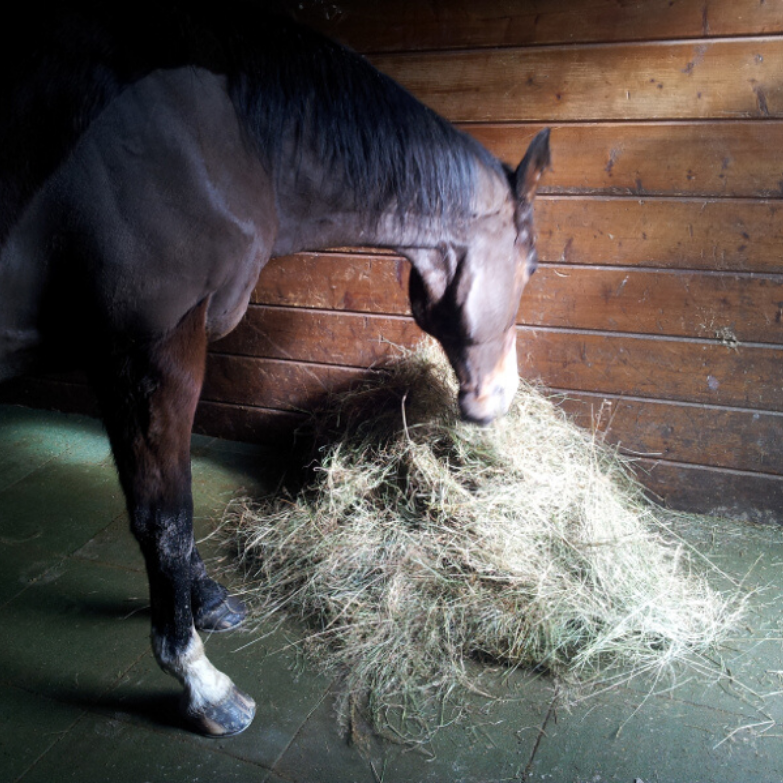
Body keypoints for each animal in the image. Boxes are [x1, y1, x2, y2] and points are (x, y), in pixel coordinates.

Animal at [0, 2, 550, 736]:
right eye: (532, 264)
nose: (500, 397)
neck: (216, 141)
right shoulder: (152, 350)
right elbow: (164, 514)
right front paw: (199, 680)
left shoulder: (136, 356)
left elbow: (163, 503)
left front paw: (205, 599)